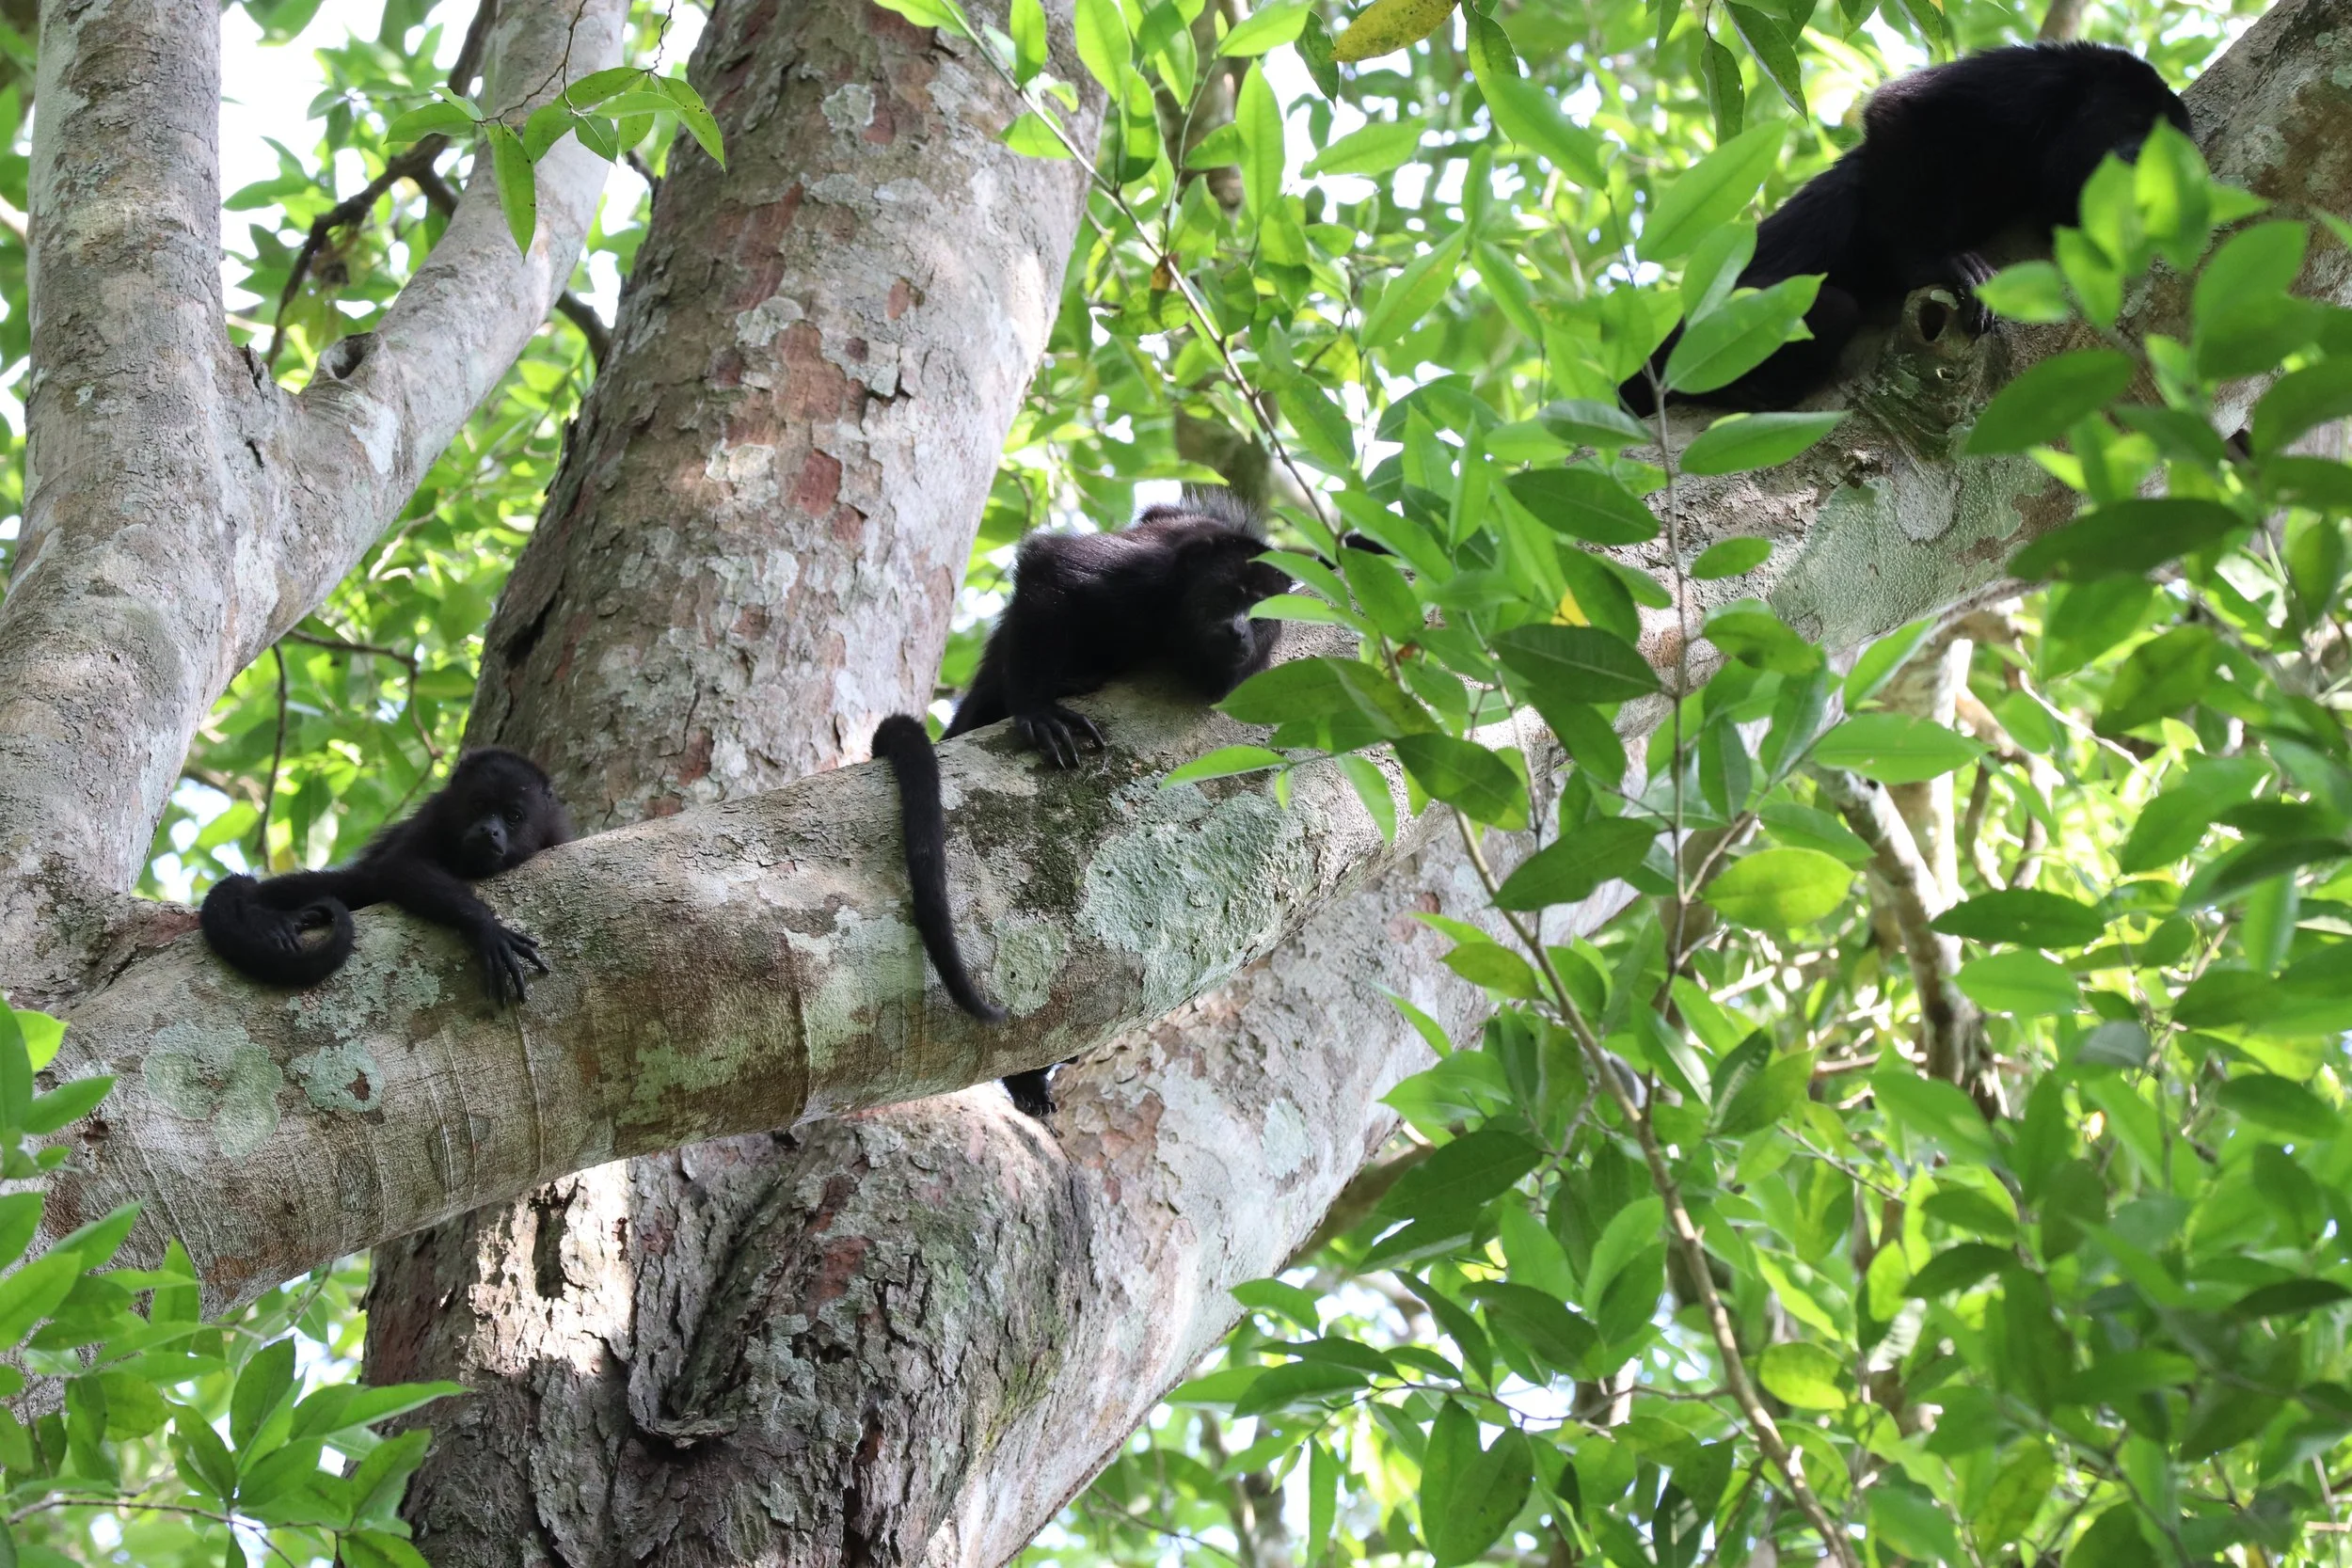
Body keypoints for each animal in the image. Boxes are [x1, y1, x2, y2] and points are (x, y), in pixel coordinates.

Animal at [200, 747, 571, 1004]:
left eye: (513, 816)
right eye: (479, 804)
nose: (489, 830)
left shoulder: (555, 835)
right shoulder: (436, 814)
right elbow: (399, 866)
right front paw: (488, 928)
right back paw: (264, 918)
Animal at [872, 489, 1292, 1118]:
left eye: (1263, 612)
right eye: (1230, 594)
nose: (1240, 631)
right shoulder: (1144, 575)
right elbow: (1051, 565)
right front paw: (1039, 708)